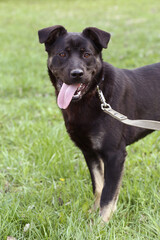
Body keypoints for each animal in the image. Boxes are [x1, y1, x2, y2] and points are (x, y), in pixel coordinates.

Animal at [37, 25, 160, 222]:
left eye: (87, 54)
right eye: (62, 54)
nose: (77, 73)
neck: (93, 94)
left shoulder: (115, 155)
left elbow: (109, 194)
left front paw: (101, 223)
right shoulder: (89, 152)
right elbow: (99, 187)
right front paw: (93, 213)